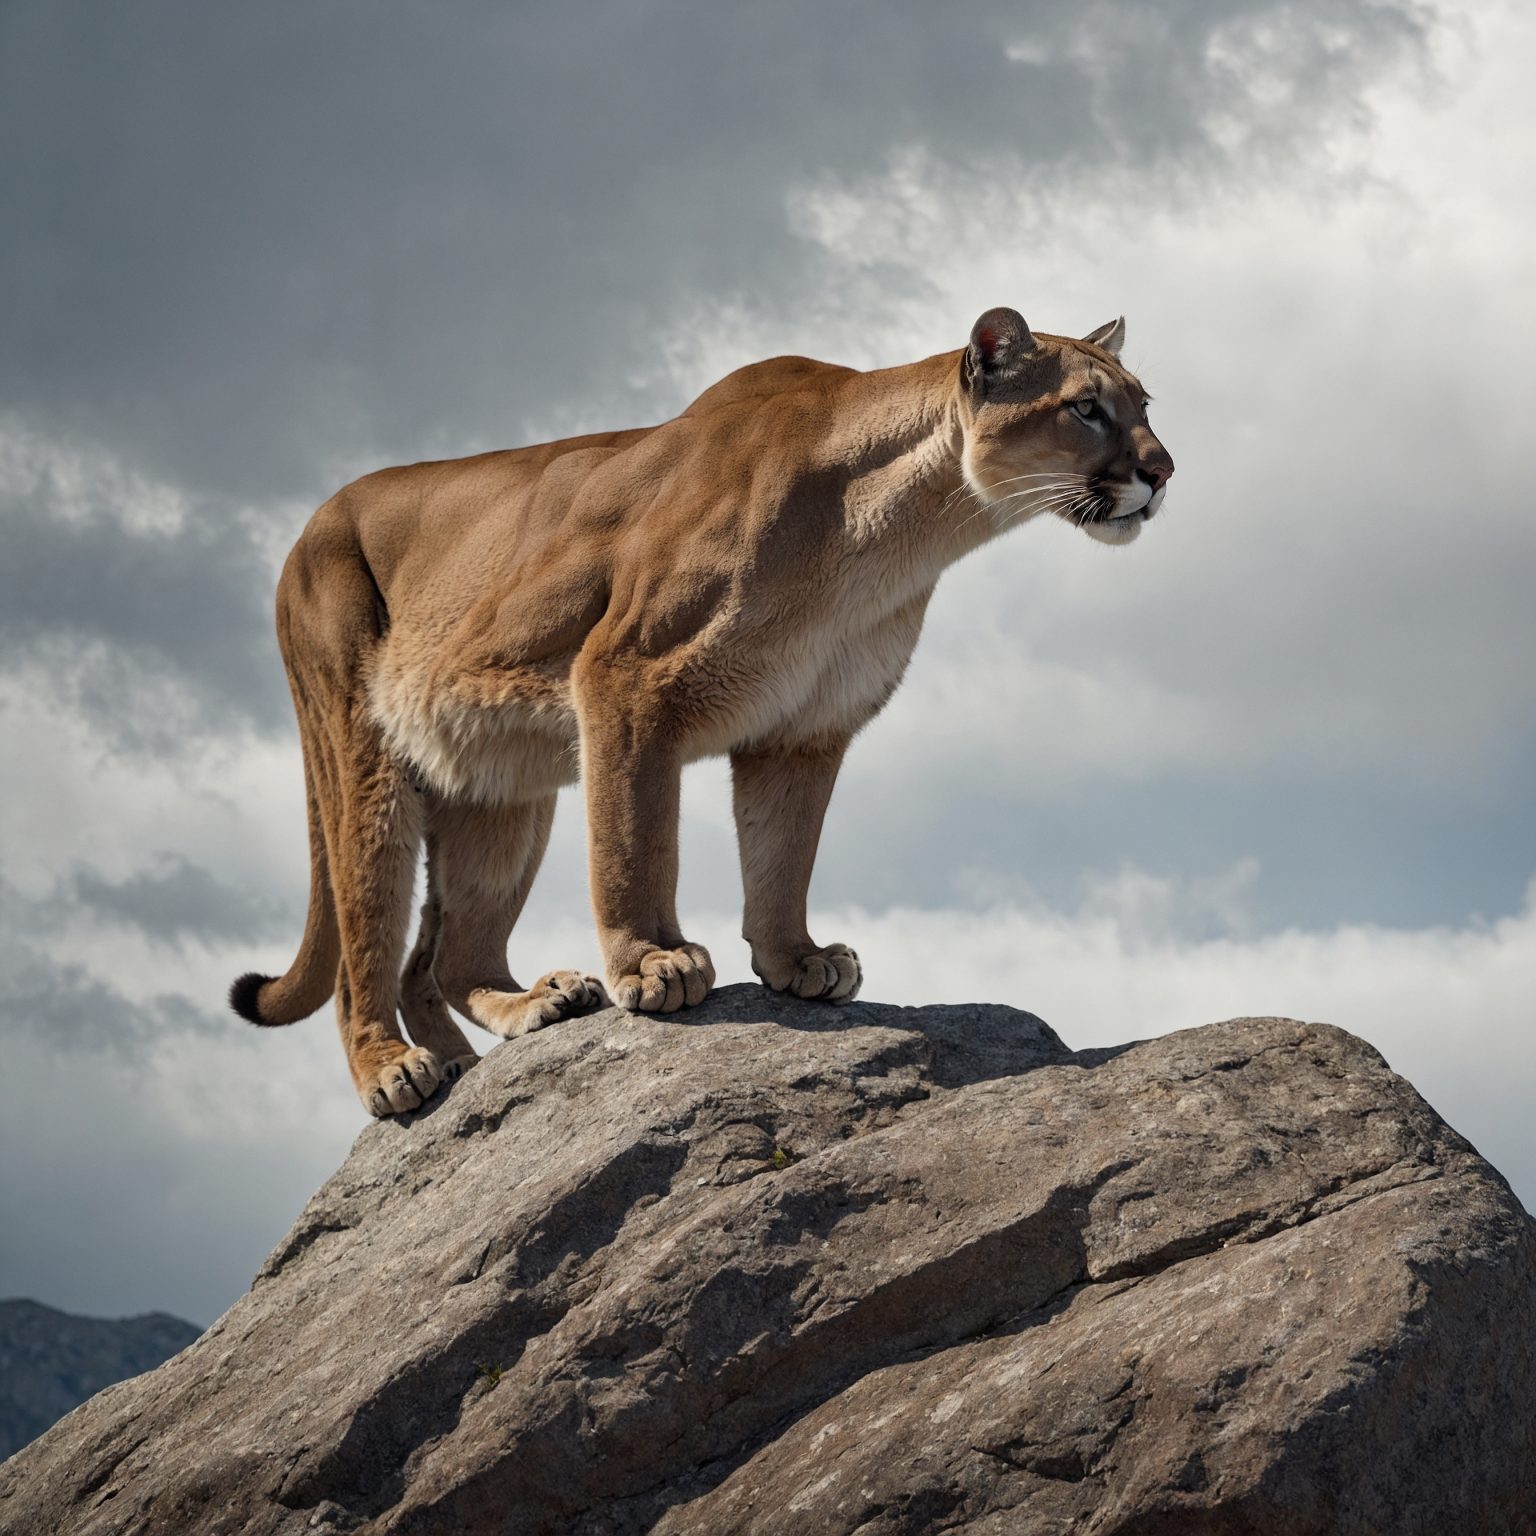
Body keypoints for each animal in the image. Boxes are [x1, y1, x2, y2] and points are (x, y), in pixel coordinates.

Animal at [227, 308, 1167, 1118]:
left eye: (1145, 404)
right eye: (1085, 407)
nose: (1163, 473)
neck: (904, 533)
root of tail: (312, 520)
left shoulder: (804, 729)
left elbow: (784, 855)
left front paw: (797, 960)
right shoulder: (625, 679)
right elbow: (635, 842)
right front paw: (654, 963)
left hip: (500, 783)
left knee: (444, 956)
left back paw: (524, 1012)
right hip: (363, 754)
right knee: (366, 939)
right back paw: (397, 1070)